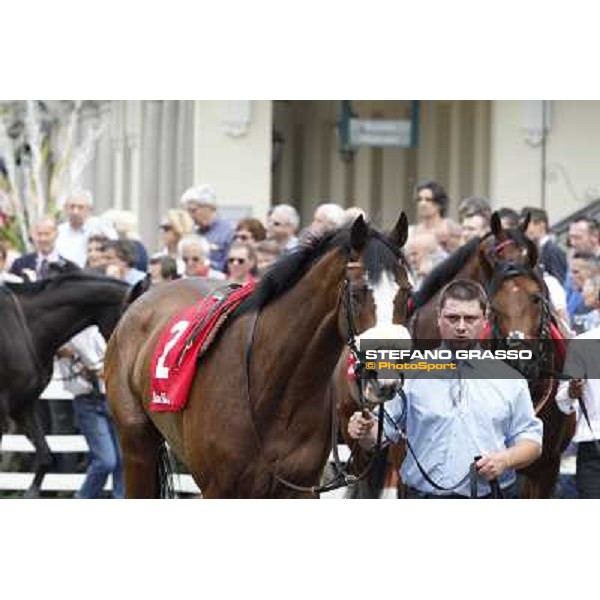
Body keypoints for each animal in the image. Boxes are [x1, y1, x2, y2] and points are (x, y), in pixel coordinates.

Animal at [104, 214, 412, 496]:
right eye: (359, 292)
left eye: (407, 293)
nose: (385, 379)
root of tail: (139, 300)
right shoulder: (219, 489)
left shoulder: (300, 489)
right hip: (137, 446)